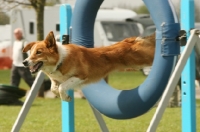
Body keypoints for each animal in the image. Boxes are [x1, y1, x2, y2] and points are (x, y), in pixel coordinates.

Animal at [22, 31, 155, 101]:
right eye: (30, 52)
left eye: (39, 52)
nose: (24, 62)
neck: (60, 60)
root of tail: (131, 40)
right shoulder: (55, 79)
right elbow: (54, 88)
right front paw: (65, 98)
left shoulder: (81, 75)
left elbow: (62, 86)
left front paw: (65, 97)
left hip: (143, 58)